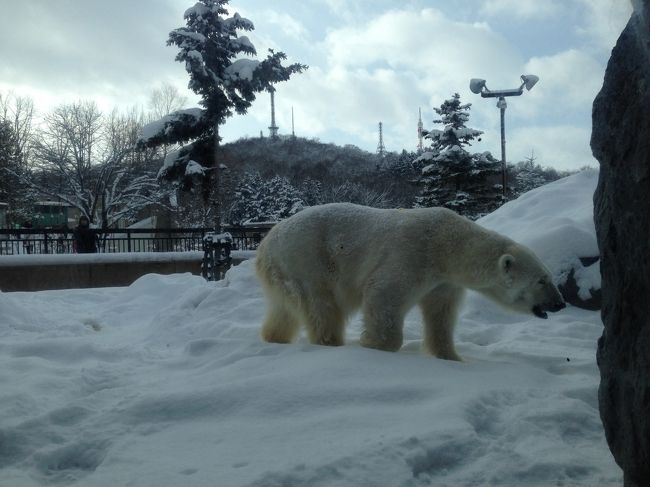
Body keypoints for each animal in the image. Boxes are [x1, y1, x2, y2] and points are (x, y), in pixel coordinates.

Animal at [253, 204, 560, 360]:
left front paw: (451, 357)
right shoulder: (412, 255)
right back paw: (331, 342)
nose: (559, 303)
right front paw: (372, 343)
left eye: (549, 276)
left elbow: (440, 315)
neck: (447, 245)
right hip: (307, 260)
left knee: (284, 309)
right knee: (322, 306)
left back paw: (274, 337)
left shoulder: (444, 281)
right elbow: (384, 296)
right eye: (542, 280)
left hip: (285, 271)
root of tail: (265, 243)